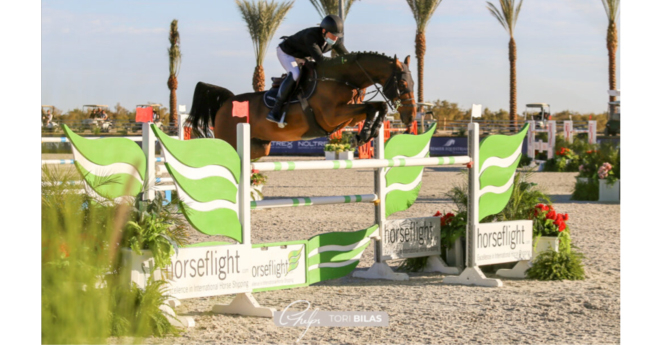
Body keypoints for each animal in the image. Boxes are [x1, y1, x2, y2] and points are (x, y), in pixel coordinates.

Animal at [186, 51, 416, 159]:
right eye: (403, 84)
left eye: (413, 83)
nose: (411, 116)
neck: (343, 78)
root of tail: (227, 102)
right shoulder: (333, 115)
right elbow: (372, 107)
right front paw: (364, 134)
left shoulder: (348, 117)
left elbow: (378, 107)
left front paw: (368, 133)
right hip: (231, 140)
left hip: (259, 147)